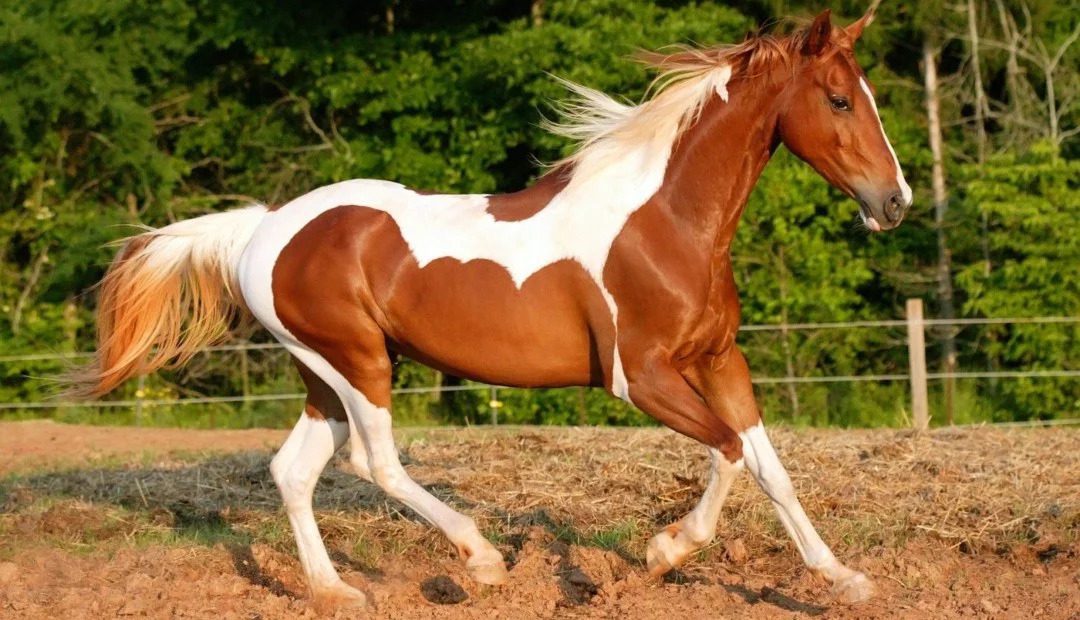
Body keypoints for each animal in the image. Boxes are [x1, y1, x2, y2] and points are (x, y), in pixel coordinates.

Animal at [72, 8, 910, 610]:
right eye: (839, 99)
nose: (894, 202)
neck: (666, 222)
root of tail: (262, 227)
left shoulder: (717, 359)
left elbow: (770, 468)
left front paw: (843, 580)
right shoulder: (639, 376)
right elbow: (729, 452)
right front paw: (665, 549)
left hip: (324, 375)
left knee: (293, 471)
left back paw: (336, 590)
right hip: (358, 363)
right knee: (374, 462)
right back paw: (481, 560)